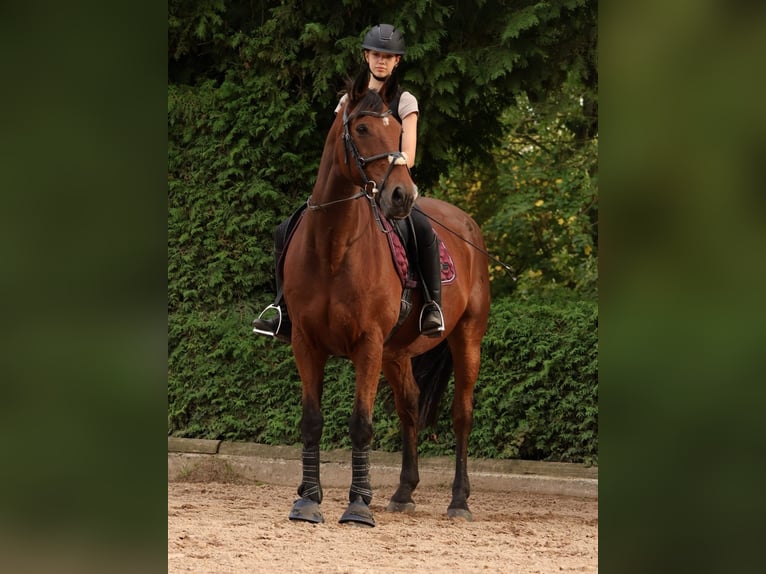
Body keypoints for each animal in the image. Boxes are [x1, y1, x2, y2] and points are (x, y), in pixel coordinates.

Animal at [282, 72, 490, 527]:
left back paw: (459, 501)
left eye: (398, 131)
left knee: (462, 415)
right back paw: (403, 492)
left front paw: (358, 505)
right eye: (361, 128)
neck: (333, 246)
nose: (401, 196)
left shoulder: (368, 345)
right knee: (409, 407)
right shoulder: (306, 343)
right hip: (397, 353)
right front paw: (308, 500)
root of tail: (467, 225)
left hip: (466, 338)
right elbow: (311, 421)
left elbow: (362, 424)